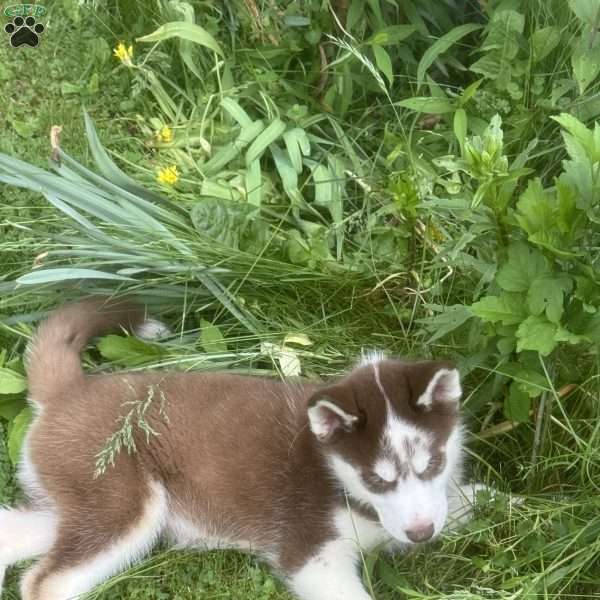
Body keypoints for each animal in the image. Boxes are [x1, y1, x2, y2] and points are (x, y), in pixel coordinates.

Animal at [0, 298, 478, 596]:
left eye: (433, 463)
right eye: (375, 479)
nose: (421, 535)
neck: (335, 473)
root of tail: (68, 392)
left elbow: (472, 501)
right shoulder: (311, 555)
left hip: (84, 505)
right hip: (125, 505)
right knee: (44, 583)